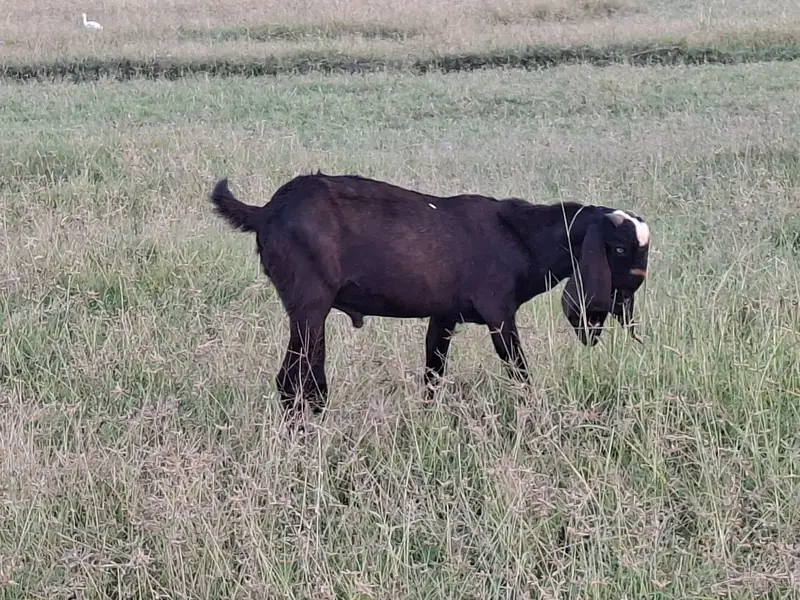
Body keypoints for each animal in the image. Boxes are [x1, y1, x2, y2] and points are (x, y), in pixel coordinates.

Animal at [209, 172, 650, 416]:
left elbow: (433, 376)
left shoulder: (444, 317)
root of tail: (266, 211)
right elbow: (521, 375)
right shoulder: (499, 316)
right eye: (619, 247)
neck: (521, 235)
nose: (634, 284)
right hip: (309, 307)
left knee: (307, 380)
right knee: (293, 382)